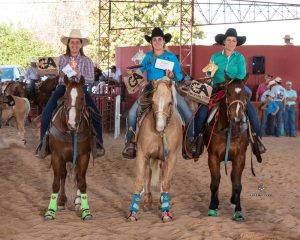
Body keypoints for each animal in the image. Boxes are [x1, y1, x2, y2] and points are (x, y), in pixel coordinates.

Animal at [44, 76, 93, 220]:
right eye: (65, 97)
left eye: (82, 97)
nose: (72, 124)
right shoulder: (57, 156)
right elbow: (56, 182)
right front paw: (51, 210)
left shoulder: (84, 156)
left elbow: (82, 182)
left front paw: (86, 210)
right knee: (63, 175)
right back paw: (61, 200)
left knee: (78, 175)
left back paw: (77, 201)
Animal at [125, 78, 182, 223]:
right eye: (153, 102)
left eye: (170, 103)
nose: (160, 127)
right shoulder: (142, 154)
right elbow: (140, 181)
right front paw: (132, 213)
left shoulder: (171, 157)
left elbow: (166, 183)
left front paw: (166, 212)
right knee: (149, 175)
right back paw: (148, 200)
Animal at [205, 73, 250, 221]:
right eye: (228, 93)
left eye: (245, 95)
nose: (237, 119)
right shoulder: (213, 157)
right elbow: (215, 182)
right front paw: (212, 207)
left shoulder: (240, 157)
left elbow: (237, 183)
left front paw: (238, 211)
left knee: (233, 177)